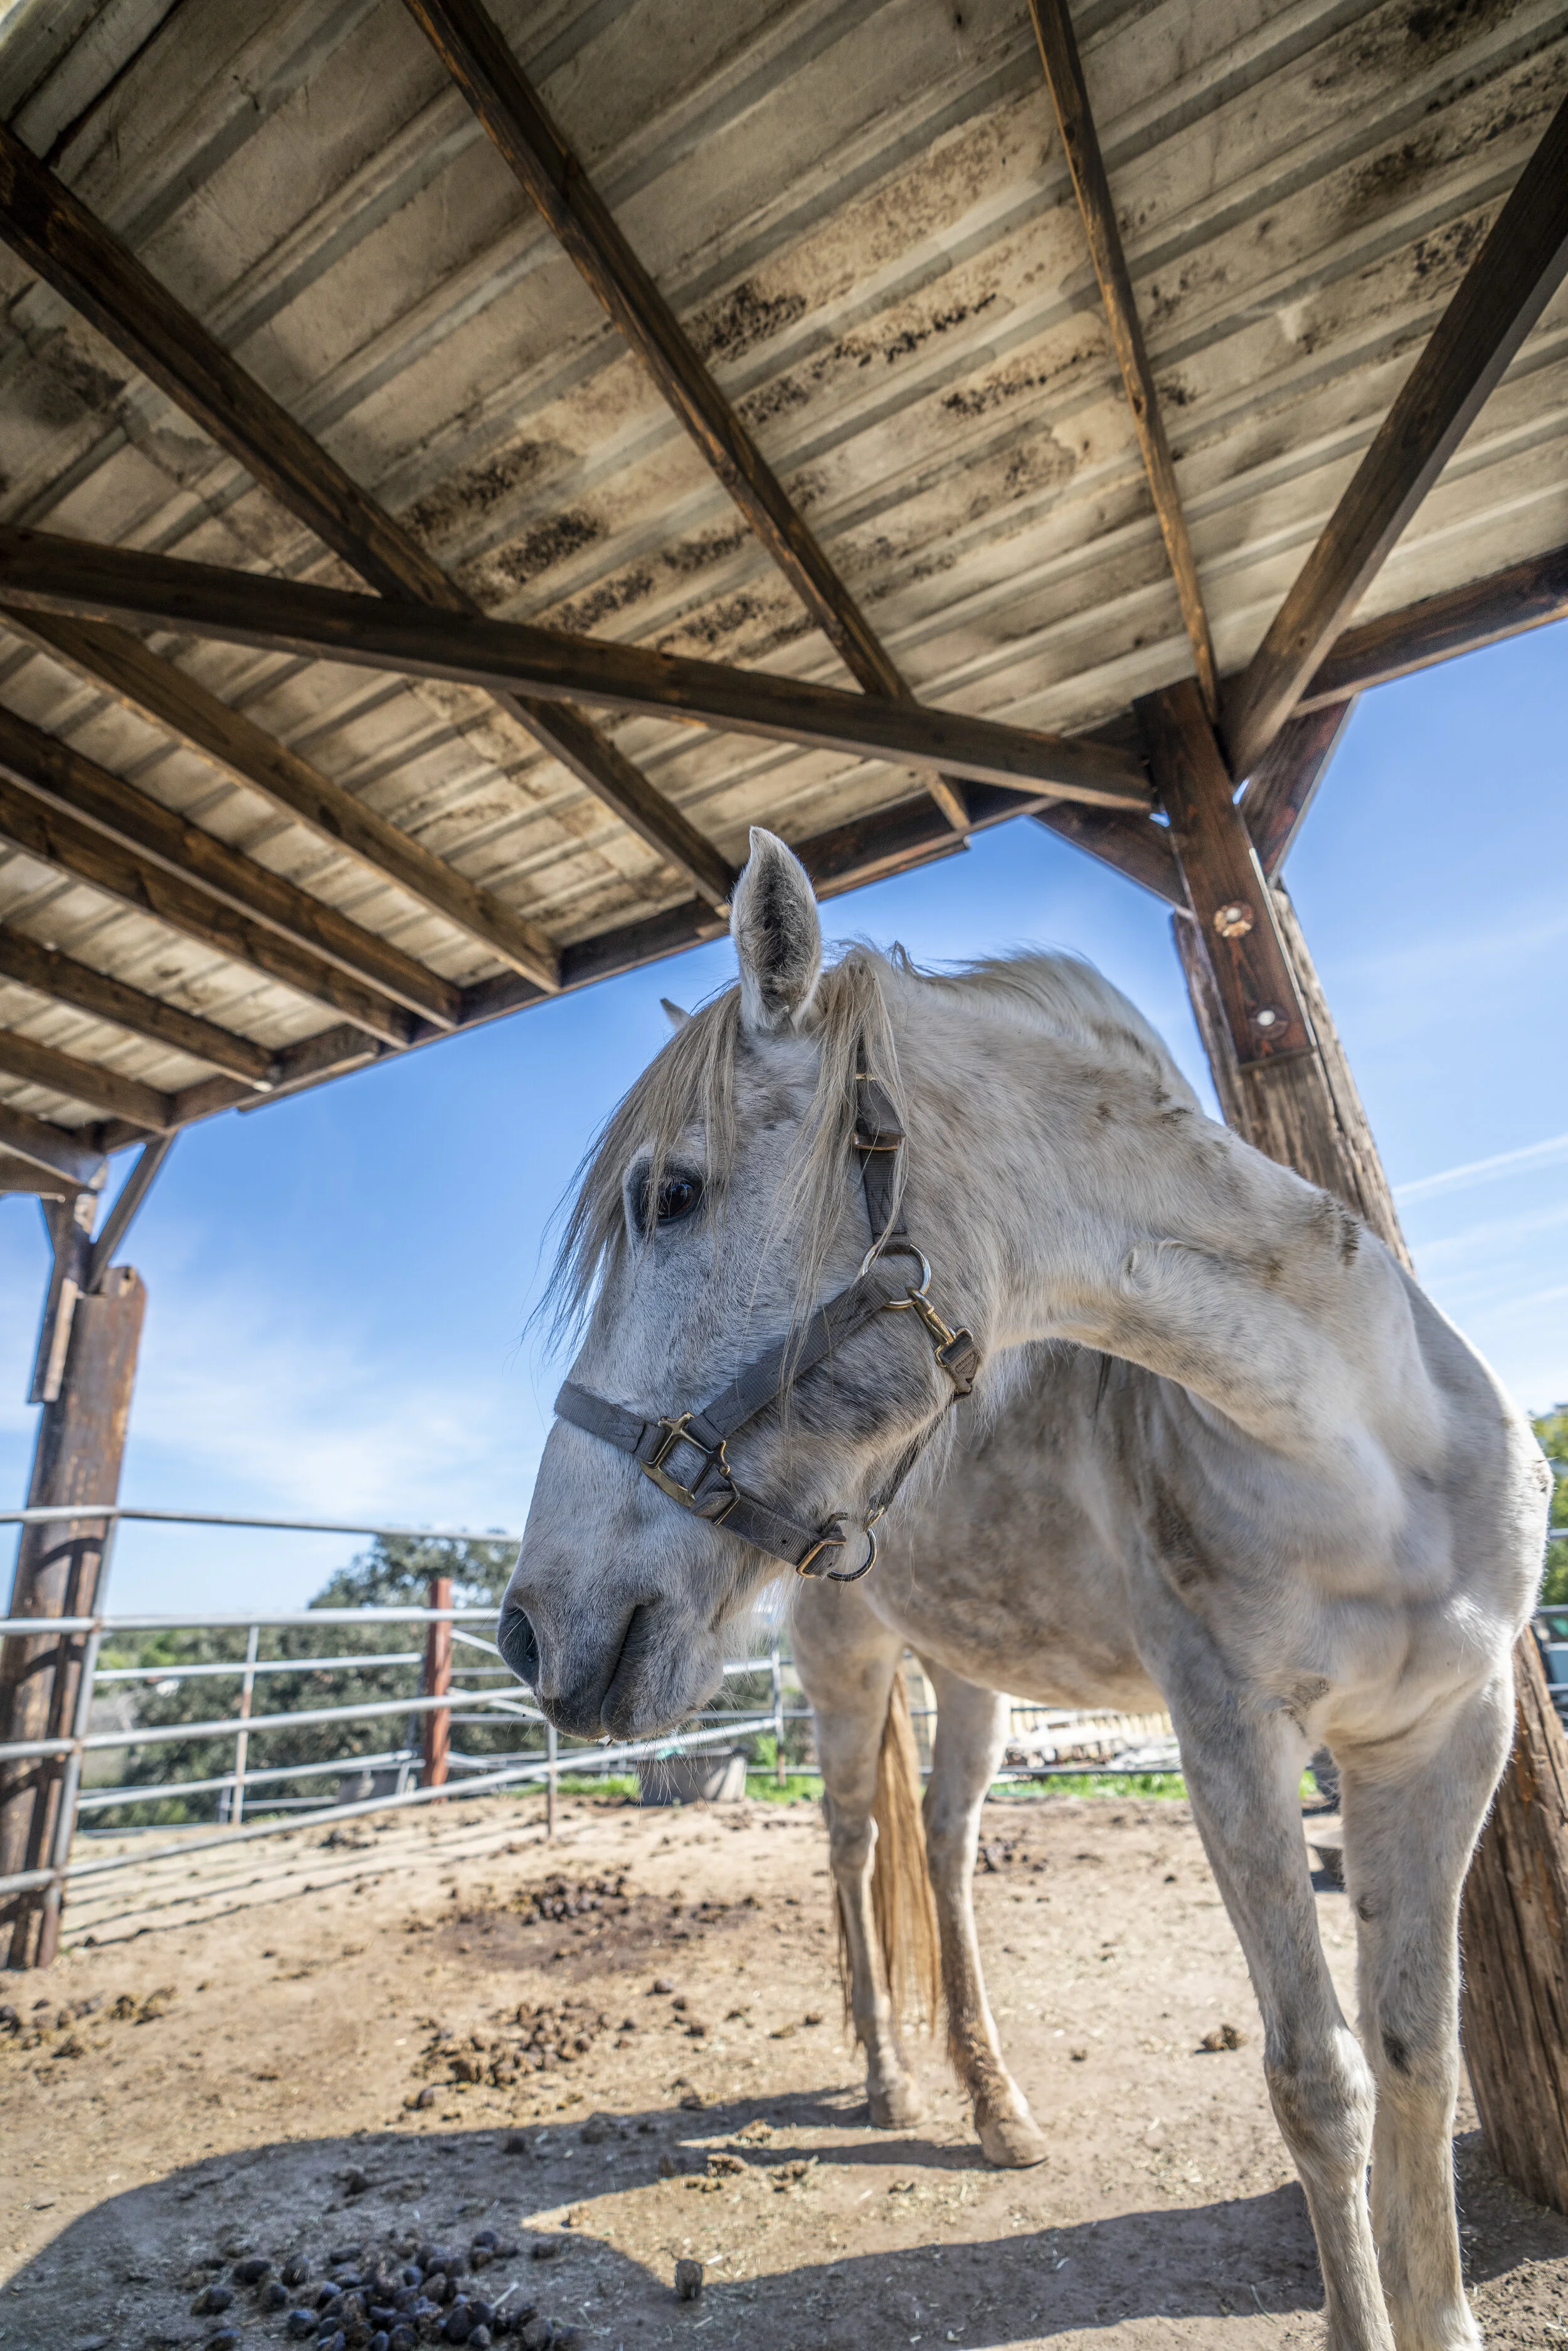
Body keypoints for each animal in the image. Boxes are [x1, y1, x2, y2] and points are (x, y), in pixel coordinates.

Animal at [502, 827, 1548, 2351]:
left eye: (672, 1192)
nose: (528, 1629)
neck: (1362, 1441)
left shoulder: (1445, 1736)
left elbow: (1419, 2059)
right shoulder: (1231, 1746)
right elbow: (1320, 2082)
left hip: (975, 1683)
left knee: (941, 1848)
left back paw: (995, 2104)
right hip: (844, 1670)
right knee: (852, 1845)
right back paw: (889, 2075)